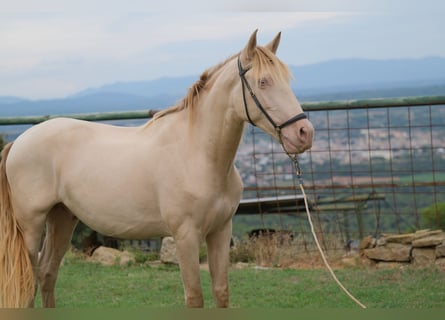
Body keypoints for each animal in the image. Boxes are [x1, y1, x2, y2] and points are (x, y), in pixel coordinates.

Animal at [0, 30, 312, 308]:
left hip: (62, 217)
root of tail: (18, 142)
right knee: (29, 283)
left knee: (47, 274)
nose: (304, 133)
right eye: (263, 81)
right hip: (32, 226)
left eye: (287, 80)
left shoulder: (221, 231)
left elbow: (221, 292)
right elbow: (195, 297)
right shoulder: (185, 236)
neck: (198, 154)